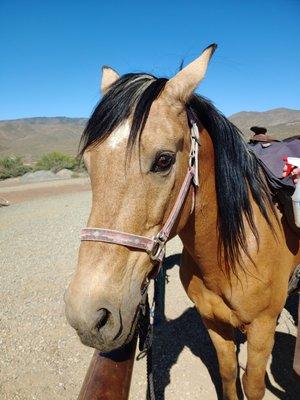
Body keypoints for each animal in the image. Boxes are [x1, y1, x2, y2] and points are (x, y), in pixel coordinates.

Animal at [64, 44, 298, 400]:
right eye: (89, 164)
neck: (229, 256)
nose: (88, 316)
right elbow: (228, 374)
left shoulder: (262, 329)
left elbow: (253, 385)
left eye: (164, 160)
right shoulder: (214, 323)